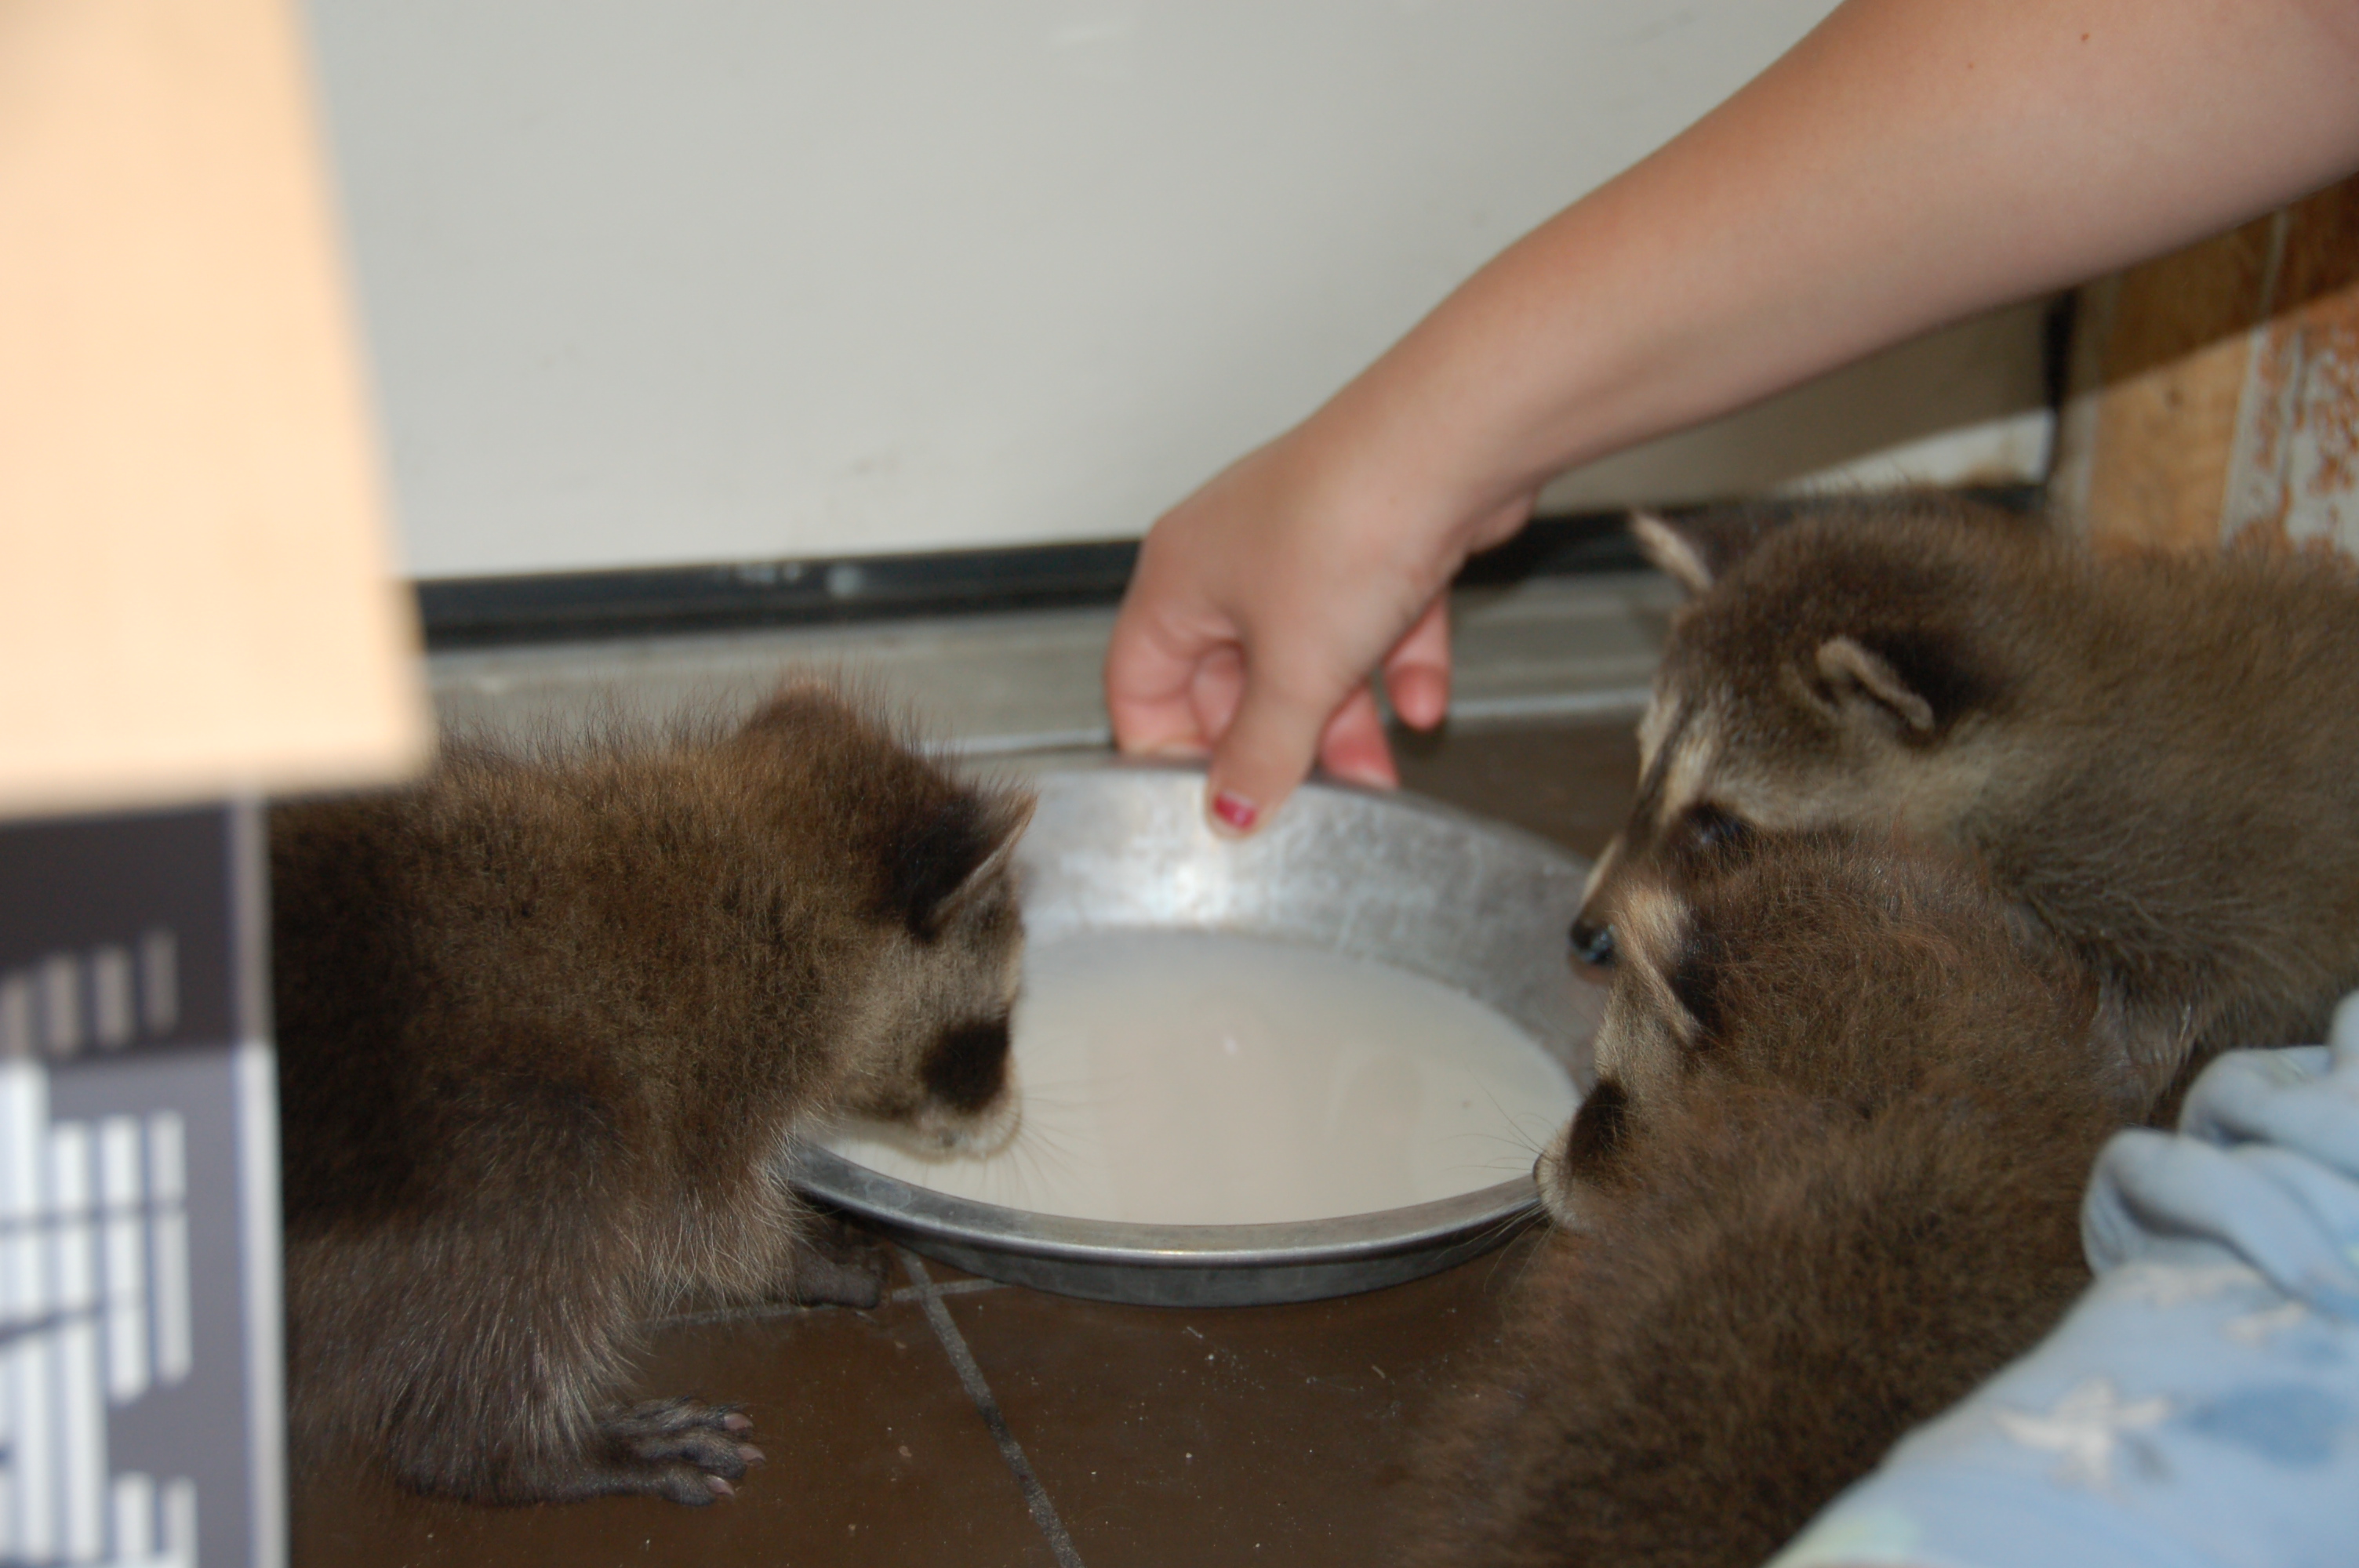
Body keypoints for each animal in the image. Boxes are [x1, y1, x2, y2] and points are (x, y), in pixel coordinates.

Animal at [270, 686, 1033, 1507]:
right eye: (992, 1033)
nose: (1010, 1121)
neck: (791, 877)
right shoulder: (716, 1060)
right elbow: (700, 1220)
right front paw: (790, 1258)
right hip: (453, 1130)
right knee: (557, 1181)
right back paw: (520, 1450)